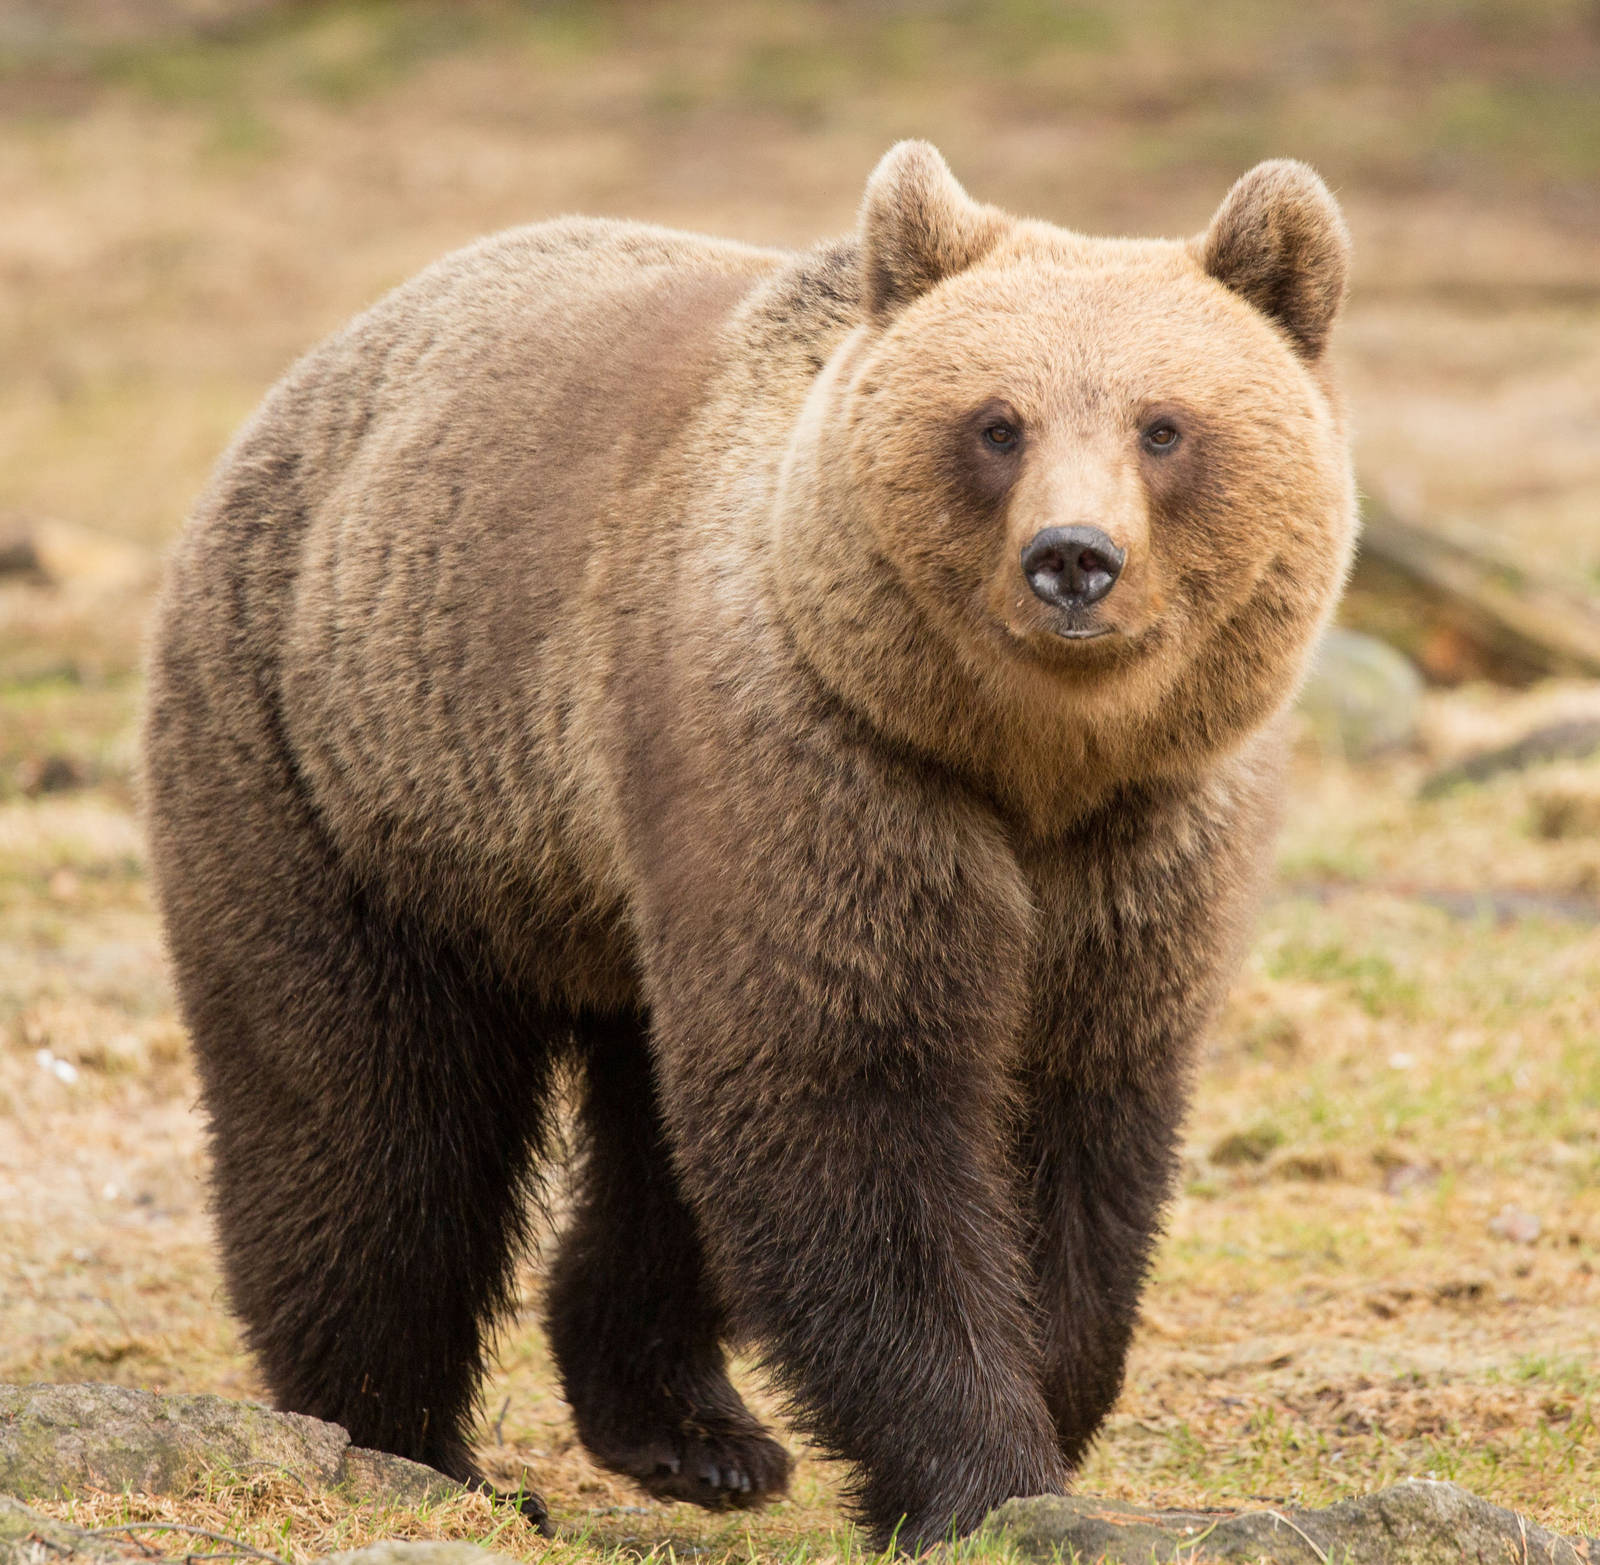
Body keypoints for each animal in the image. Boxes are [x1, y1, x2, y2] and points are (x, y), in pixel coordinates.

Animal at [141, 142, 1355, 1549]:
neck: (1027, 762)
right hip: (346, 775)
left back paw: (691, 1428)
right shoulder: (819, 776)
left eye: (1164, 425)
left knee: (649, 1132)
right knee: (369, 1121)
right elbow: (847, 1108)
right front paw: (977, 1471)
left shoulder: (1141, 844)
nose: (1072, 561)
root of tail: (313, 377)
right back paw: (405, 1437)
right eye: (996, 422)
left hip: (592, 886)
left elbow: (1075, 1119)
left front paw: (1047, 1403)